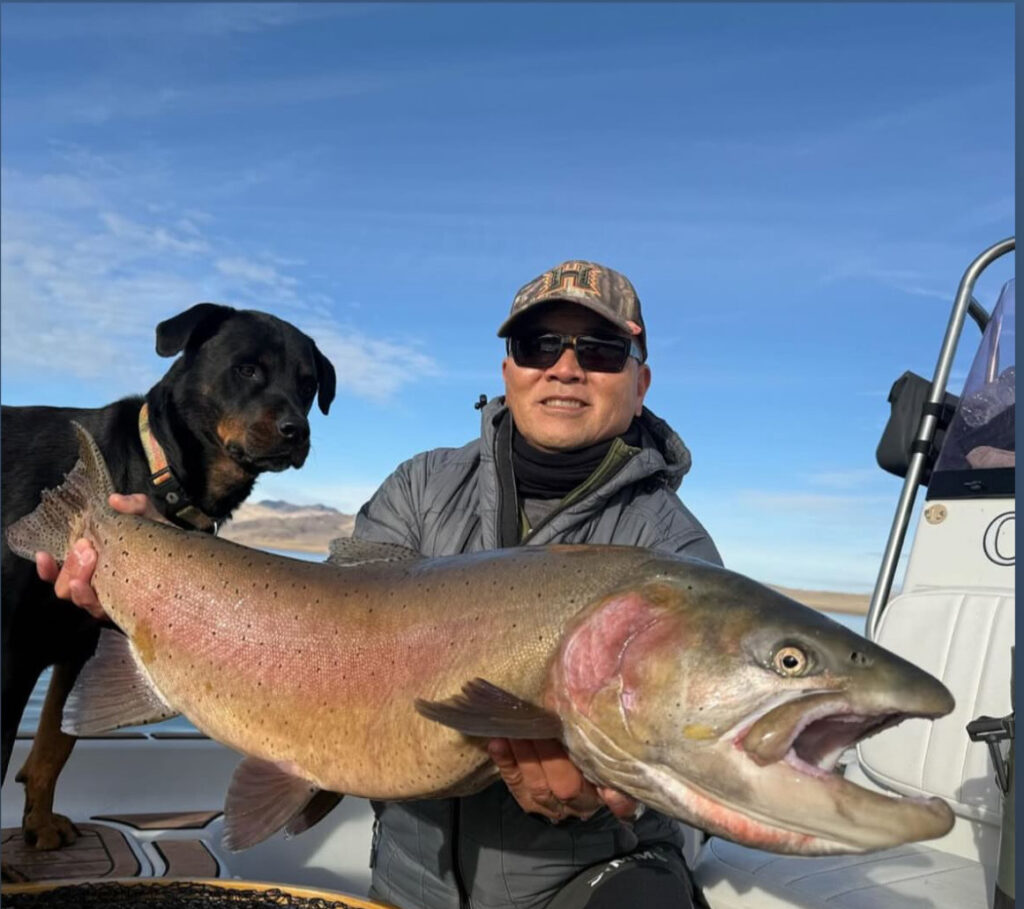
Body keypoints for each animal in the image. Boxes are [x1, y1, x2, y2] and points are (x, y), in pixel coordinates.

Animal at [1, 300, 335, 855]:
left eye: (308, 385)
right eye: (248, 369)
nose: (298, 430)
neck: (155, 467)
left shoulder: (85, 642)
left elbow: (56, 743)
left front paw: (41, 825)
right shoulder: (14, 646)